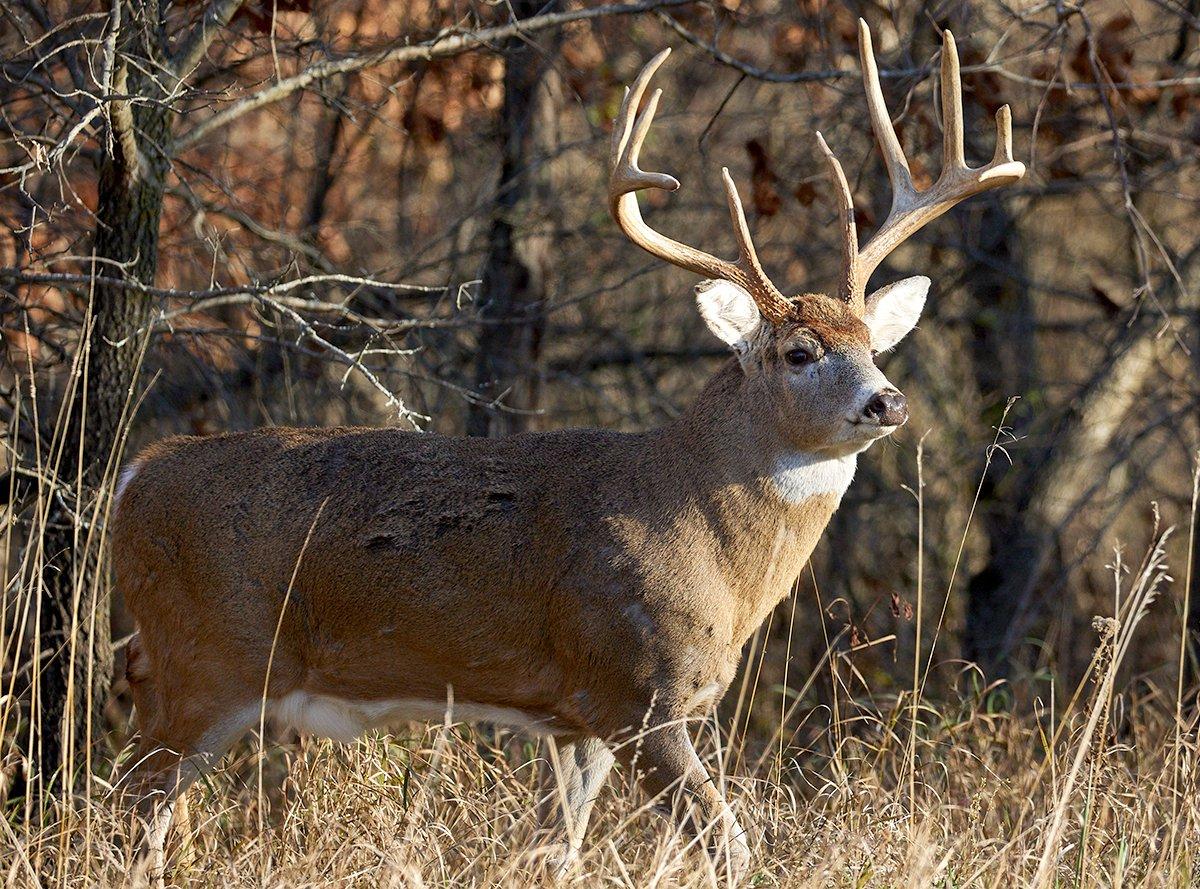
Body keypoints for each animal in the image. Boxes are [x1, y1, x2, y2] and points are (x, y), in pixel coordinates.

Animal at [117, 20, 1022, 883]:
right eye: (799, 352)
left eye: (872, 343)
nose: (887, 400)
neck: (704, 531)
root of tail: (134, 475)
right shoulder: (637, 688)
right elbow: (731, 846)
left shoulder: (576, 716)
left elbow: (555, 848)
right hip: (206, 659)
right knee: (130, 801)